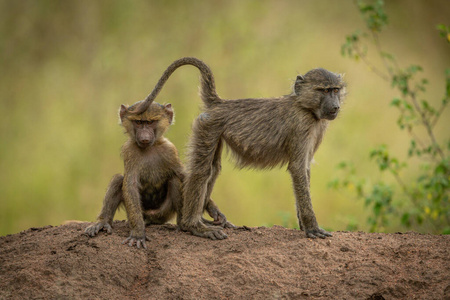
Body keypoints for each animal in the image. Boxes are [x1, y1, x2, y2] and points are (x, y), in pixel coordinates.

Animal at [83, 101, 184, 248]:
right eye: (138, 122)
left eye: (150, 122)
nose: (144, 137)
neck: (149, 148)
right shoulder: (129, 151)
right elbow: (130, 185)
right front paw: (138, 233)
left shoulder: (170, 151)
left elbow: (184, 176)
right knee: (119, 180)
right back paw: (102, 222)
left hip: (163, 213)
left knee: (174, 180)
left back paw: (182, 225)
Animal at [133, 56, 344, 239]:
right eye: (324, 91)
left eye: (335, 90)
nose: (335, 107)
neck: (305, 107)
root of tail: (220, 104)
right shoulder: (302, 126)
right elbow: (298, 169)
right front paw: (312, 227)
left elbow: (304, 171)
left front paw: (303, 224)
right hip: (207, 125)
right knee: (201, 171)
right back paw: (193, 225)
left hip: (213, 130)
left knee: (213, 169)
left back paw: (202, 219)